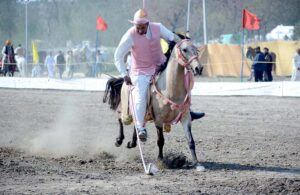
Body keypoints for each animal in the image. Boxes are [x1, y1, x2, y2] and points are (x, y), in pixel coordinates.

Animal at [103, 38, 204, 170]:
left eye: (197, 49)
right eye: (184, 49)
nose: (199, 68)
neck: (171, 90)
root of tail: (126, 78)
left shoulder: (186, 117)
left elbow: (191, 141)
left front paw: (197, 163)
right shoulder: (158, 119)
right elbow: (160, 141)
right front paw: (161, 161)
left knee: (137, 123)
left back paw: (133, 142)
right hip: (126, 111)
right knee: (121, 120)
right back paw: (119, 140)